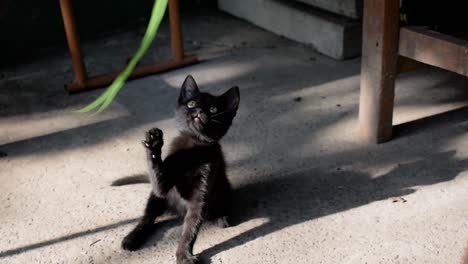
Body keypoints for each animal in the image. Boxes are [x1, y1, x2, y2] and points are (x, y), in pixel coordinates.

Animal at [120, 75, 239, 262]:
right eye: (191, 104)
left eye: (213, 109)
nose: (198, 111)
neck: (193, 147)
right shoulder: (162, 186)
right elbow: (159, 175)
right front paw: (154, 143)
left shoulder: (202, 192)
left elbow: (191, 226)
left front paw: (184, 254)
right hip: (155, 198)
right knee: (148, 218)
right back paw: (132, 238)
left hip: (223, 190)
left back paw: (220, 218)